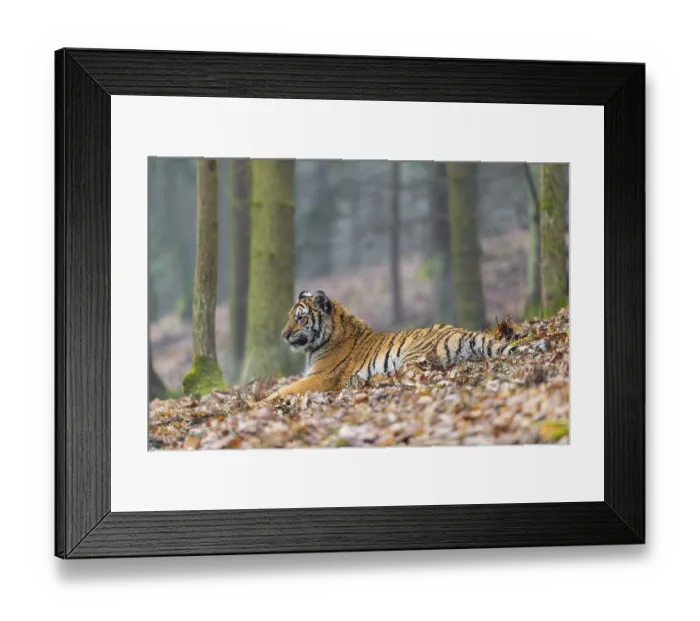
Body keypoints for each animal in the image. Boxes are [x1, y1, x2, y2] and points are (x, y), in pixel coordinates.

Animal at [258, 289, 546, 405]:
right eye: (290, 316)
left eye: (300, 317)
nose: (283, 335)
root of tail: (463, 331)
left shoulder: (320, 378)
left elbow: (282, 391)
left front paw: (255, 404)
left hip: (411, 358)